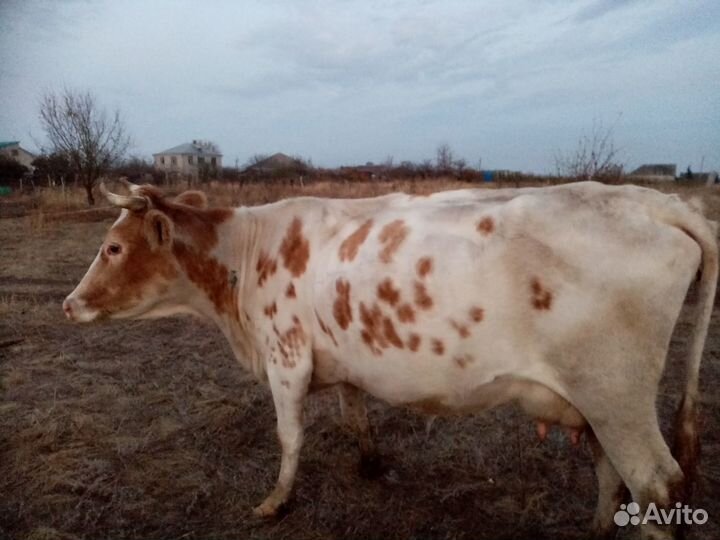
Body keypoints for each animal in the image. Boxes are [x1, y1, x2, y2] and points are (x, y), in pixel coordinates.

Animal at [63, 180, 717, 539]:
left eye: (113, 247)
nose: (69, 304)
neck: (243, 259)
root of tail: (657, 202)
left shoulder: (286, 357)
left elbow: (289, 436)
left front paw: (275, 502)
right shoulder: (337, 357)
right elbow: (354, 410)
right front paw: (371, 462)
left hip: (617, 394)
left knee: (657, 488)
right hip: (600, 400)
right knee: (611, 472)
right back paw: (597, 528)